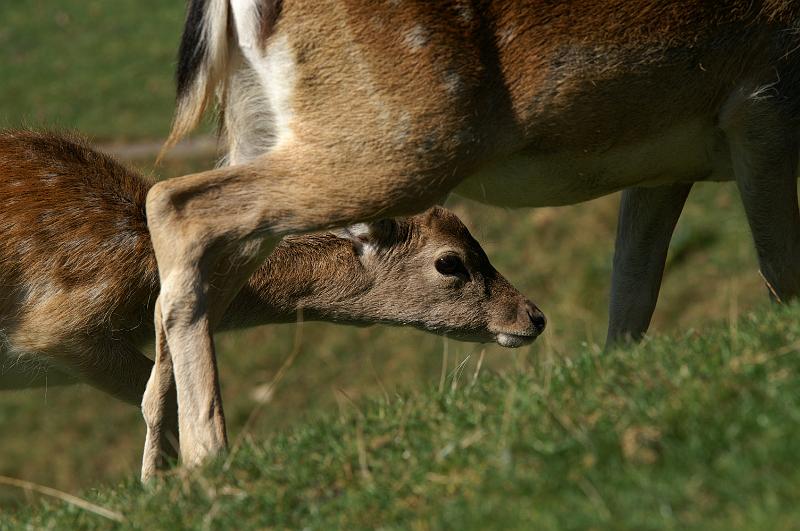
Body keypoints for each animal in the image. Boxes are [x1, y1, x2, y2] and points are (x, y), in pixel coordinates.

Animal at [150, 2, 800, 472]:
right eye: (451, 265)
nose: (535, 317)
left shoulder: (666, 160)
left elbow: (632, 293)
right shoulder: (763, 96)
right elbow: (778, 268)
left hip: (260, 127)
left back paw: (161, 471)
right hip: (397, 135)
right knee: (172, 202)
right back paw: (209, 457)